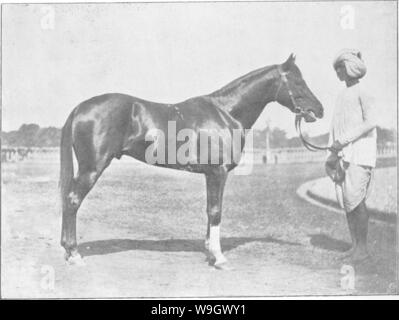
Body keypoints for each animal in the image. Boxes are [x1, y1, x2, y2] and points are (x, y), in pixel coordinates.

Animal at [59, 54, 324, 268]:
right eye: (297, 81)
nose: (319, 109)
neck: (225, 113)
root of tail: (80, 108)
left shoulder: (210, 174)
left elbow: (210, 210)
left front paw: (209, 253)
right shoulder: (218, 172)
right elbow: (216, 211)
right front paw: (219, 258)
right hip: (92, 168)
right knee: (72, 200)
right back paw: (74, 255)